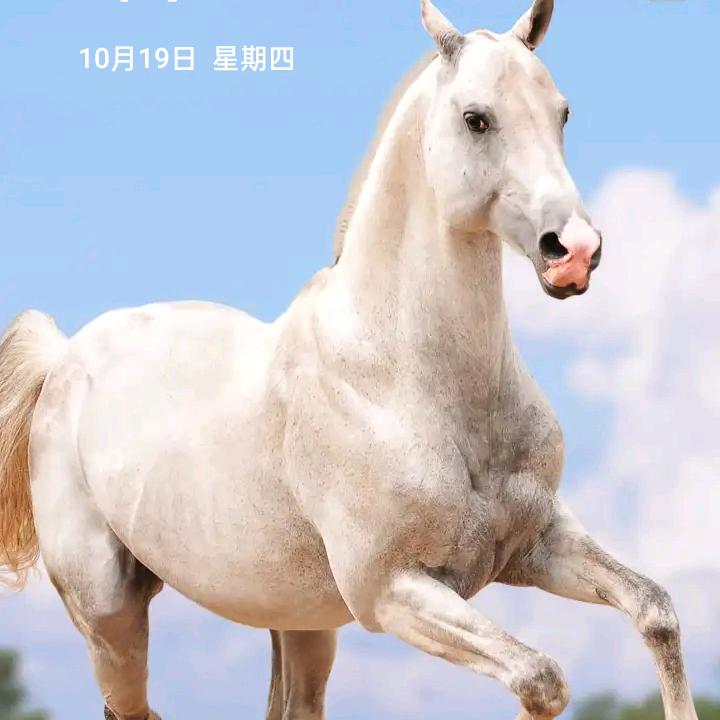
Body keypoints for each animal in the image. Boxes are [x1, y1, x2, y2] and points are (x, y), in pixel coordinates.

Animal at [0, 2, 698, 719]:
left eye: (562, 112)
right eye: (476, 118)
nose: (575, 252)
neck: (403, 378)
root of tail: (65, 356)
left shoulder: (537, 545)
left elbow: (655, 611)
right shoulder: (391, 592)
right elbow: (541, 678)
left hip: (301, 623)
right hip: (110, 616)